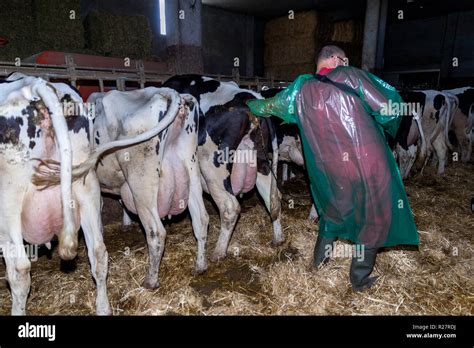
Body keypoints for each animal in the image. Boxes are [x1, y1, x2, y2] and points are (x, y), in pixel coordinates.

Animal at [163, 76, 284, 260]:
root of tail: (249, 96)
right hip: (260, 159)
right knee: (273, 197)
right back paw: (278, 238)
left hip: (213, 166)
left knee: (230, 207)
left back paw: (218, 252)